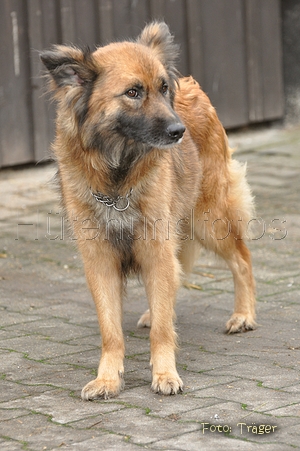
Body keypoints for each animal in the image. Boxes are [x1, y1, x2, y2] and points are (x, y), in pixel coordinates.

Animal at [40, 23, 255, 400]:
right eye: (133, 92)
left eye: (163, 88)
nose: (178, 131)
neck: (117, 174)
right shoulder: (100, 260)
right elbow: (111, 329)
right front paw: (108, 379)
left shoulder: (157, 248)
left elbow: (163, 331)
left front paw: (165, 373)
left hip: (209, 219)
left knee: (242, 261)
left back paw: (243, 315)